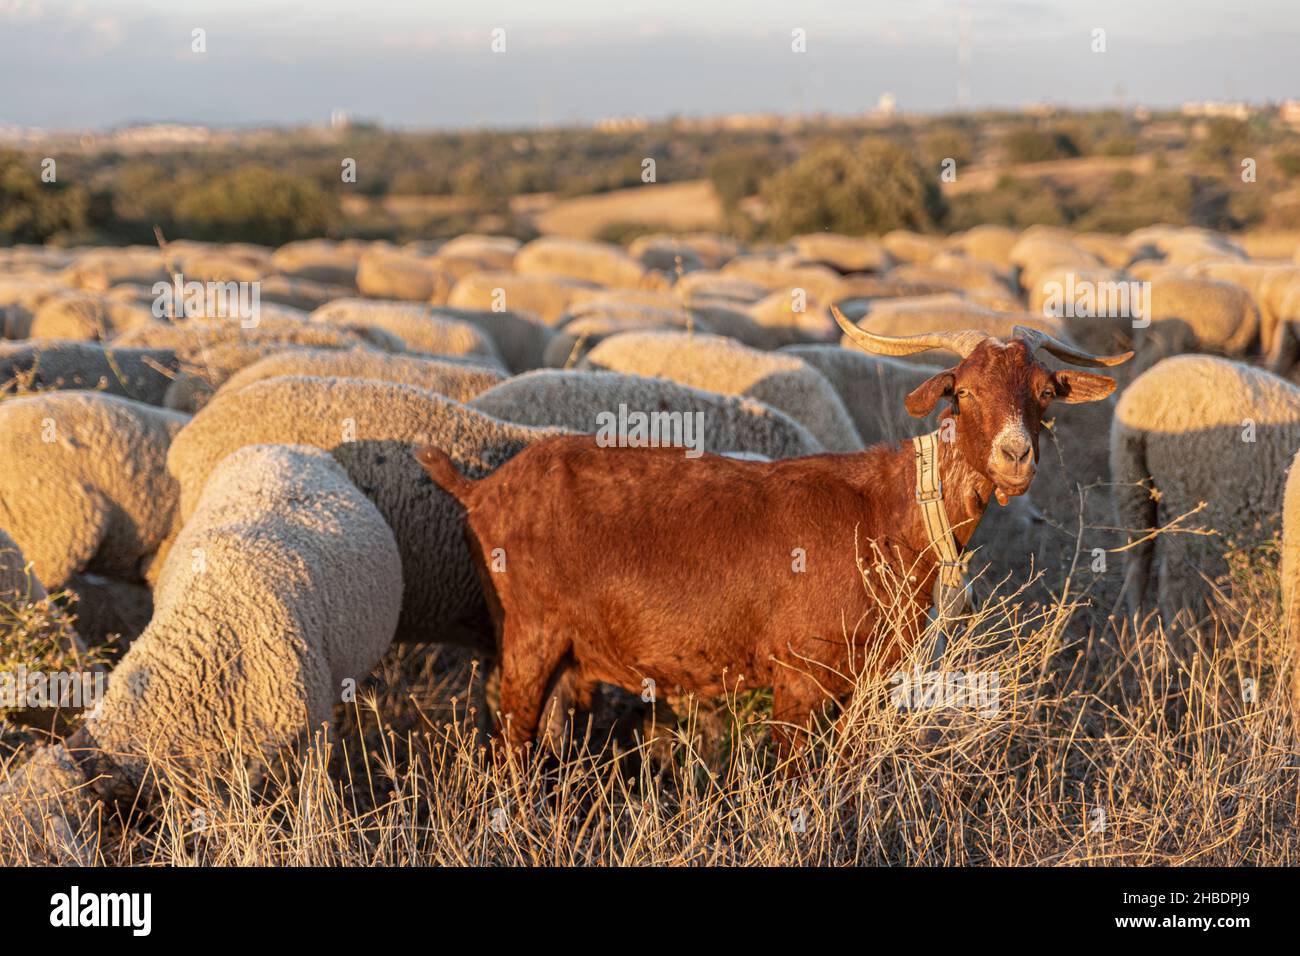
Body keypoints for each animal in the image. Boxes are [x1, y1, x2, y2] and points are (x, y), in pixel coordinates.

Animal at [1111, 355, 1300, 622]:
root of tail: (1145, 403)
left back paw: (1136, 628)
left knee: (1136, 564)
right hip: (1186, 503)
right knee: (1173, 584)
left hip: (1130, 486)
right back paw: (1180, 631)